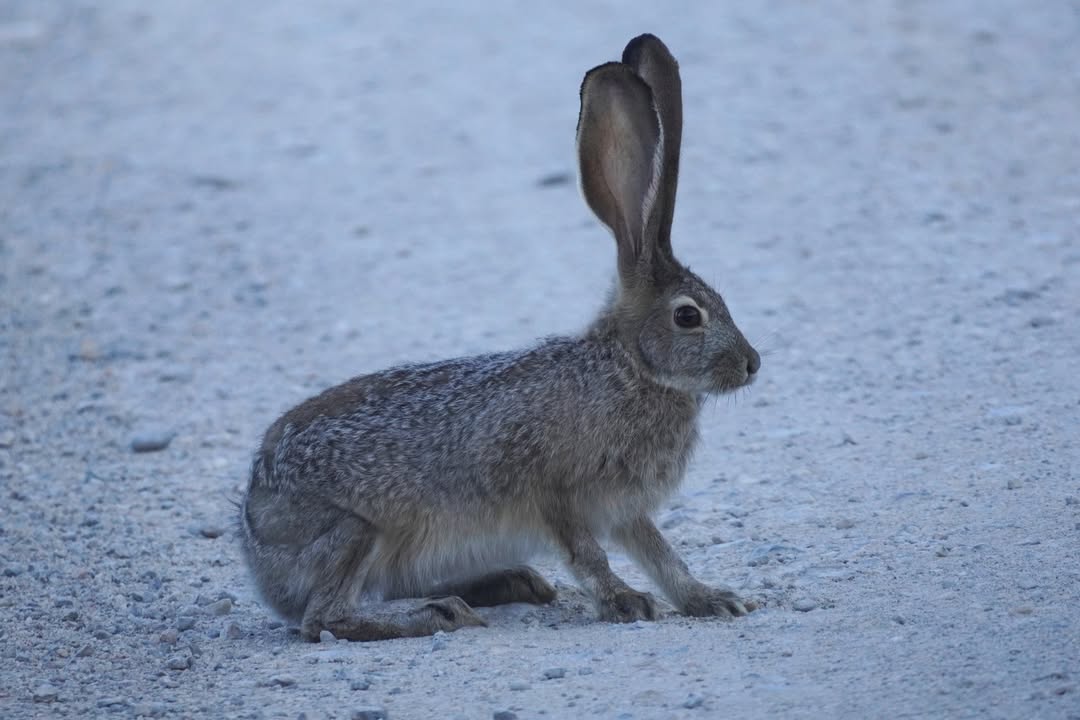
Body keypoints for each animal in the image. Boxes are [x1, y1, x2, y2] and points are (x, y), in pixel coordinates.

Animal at [239, 33, 761, 642]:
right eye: (687, 316)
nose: (752, 364)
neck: (630, 368)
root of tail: (253, 538)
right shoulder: (557, 493)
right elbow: (590, 555)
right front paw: (626, 602)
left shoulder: (626, 509)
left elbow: (662, 555)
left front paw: (711, 599)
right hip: (355, 530)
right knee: (325, 617)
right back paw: (437, 613)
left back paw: (509, 582)